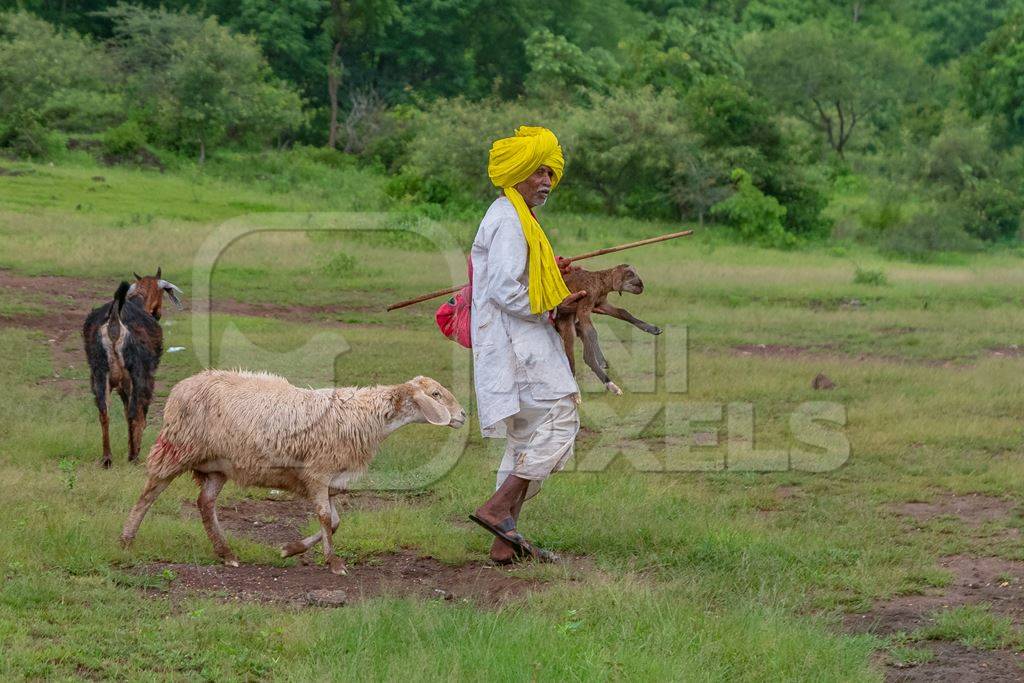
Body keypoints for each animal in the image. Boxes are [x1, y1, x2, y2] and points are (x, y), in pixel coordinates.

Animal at [82, 270, 183, 466]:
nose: (158, 313)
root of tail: (114, 319)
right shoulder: (144, 377)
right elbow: (140, 413)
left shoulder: (121, 385)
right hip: (136, 374)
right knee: (134, 412)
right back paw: (133, 456)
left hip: (99, 373)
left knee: (104, 412)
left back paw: (107, 458)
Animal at [118, 370, 464, 573]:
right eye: (436, 395)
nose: (462, 415)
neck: (367, 414)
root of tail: (183, 384)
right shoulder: (318, 472)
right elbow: (325, 519)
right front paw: (334, 563)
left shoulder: (331, 480)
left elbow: (334, 522)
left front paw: (289, 549)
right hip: (178, 446)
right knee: (150, 492)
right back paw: (126, 540)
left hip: (219, 464)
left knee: (205, 503)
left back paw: (226, 553)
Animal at [557, 266, 659, 395]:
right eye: (629, 274)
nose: (641, 286)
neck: (599, 281)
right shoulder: (583, 306)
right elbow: (592, 332)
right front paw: (602, 360)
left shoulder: (601, 305)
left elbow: (623, 312)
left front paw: (652, 329)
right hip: (567, 326)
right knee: (571, 359)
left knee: (587, 357)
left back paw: (612, 386)